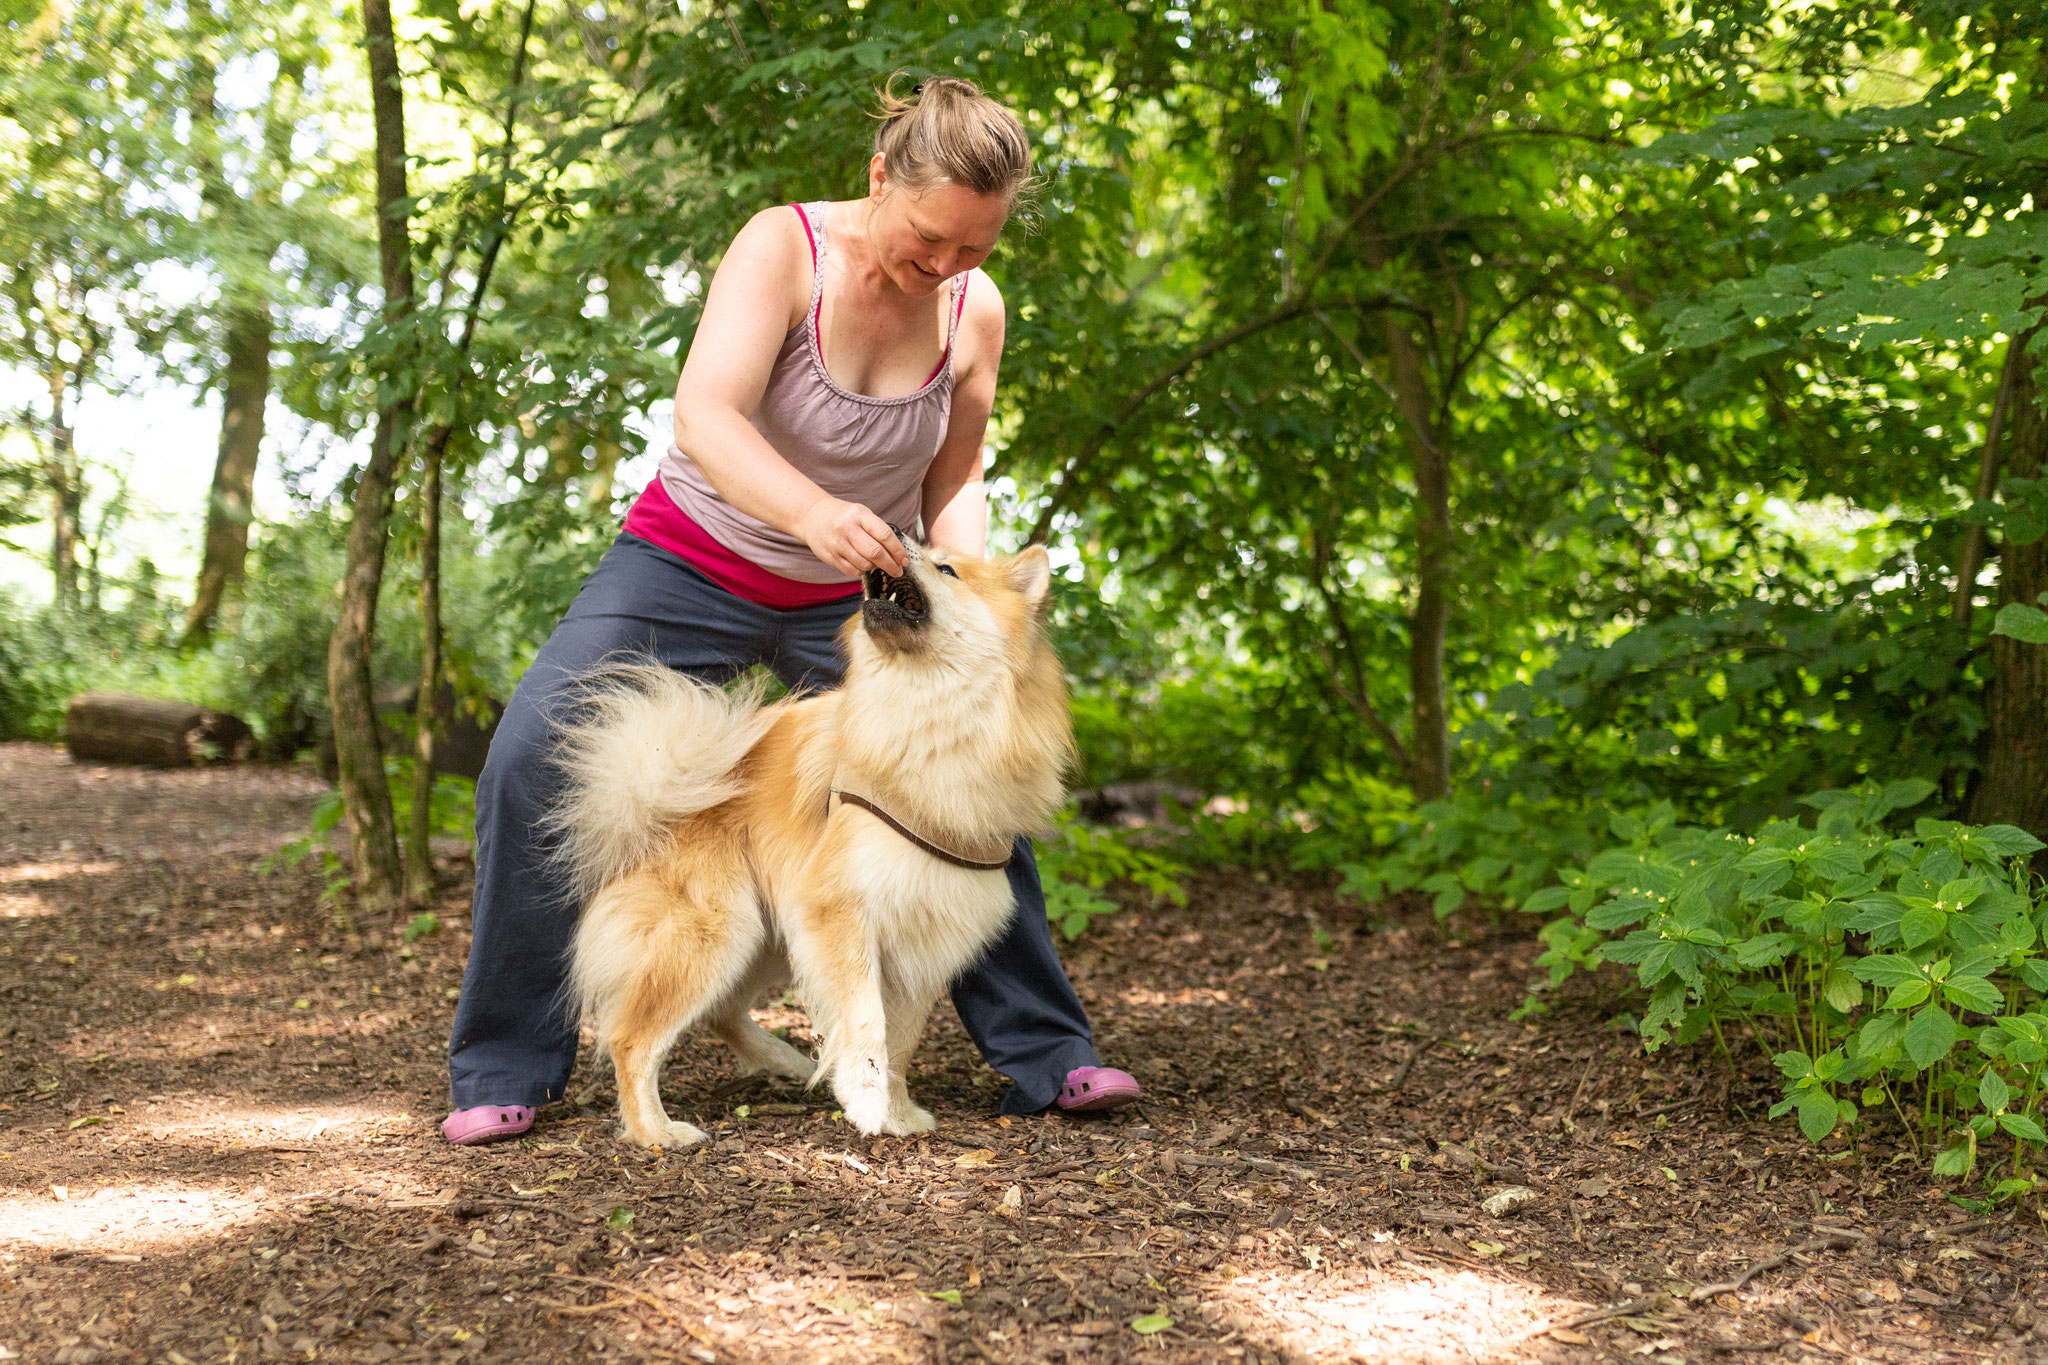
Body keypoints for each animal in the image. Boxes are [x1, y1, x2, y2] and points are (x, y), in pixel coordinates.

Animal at [544, 540, 1073, 1146]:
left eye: (947, 569)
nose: (893, 535)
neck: (926, 718)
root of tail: (645, 798)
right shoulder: (841, 912)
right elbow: (867, 1021)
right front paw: (866, 1100)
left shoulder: (925, 929)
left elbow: (901, 1041)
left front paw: (897, 1111)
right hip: (718, 933)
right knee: (632, 1040)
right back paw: (657, 1132)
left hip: (763, 937)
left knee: (719, 1014)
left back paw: (789, 1063)